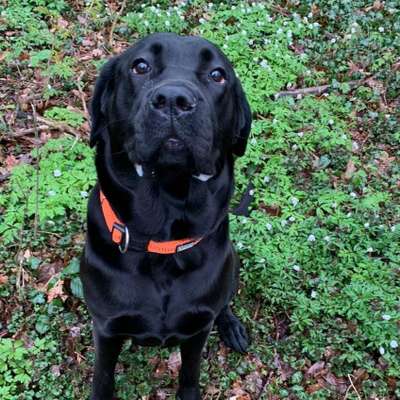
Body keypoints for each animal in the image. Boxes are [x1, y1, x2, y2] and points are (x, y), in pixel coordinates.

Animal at [79, 32, 252, 400]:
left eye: (217, 75)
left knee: (225, 303)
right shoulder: (106, 328)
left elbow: (190, 374)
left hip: (232, 265)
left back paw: (231, 326)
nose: (174, 99)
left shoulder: (197, 328)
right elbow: (103, 376)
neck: (161, 239)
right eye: (140, 66)